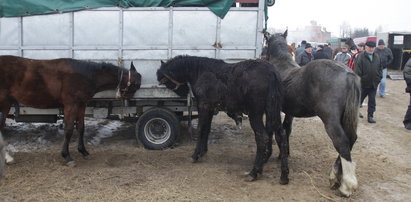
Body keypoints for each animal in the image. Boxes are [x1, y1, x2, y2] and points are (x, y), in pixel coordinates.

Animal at [0, 55, 142, 166]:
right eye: (136, 85)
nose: (129, 102)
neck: (84, 75)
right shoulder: (71, 105)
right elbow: (68, 130)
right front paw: (67, 156)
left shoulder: (81, 105)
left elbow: (81, 128)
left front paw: (83, 151)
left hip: (6, 103)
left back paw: (8, 158)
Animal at [158, 55, 290, 183]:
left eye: (165, 82)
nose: (184, 94)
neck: (200, 71)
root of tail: (272, 72)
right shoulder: (210, 109)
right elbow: (207, 129)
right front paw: (202, 152)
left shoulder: (203, 106)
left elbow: (201, 129)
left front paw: (195, 155)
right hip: (273, 110)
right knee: (281, 135)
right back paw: (283, 175)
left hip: (255, 113)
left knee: (262, 136)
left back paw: (254, 172)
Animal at [268, 30, 360, 196]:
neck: (281, 63)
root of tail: (348, 74)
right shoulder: (290, 111)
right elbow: (287, 130)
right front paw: (284, 154)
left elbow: (279, 133)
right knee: (351, 139)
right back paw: (335, 176)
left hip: (331, 121)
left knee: (342, 142)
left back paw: (346, 185)